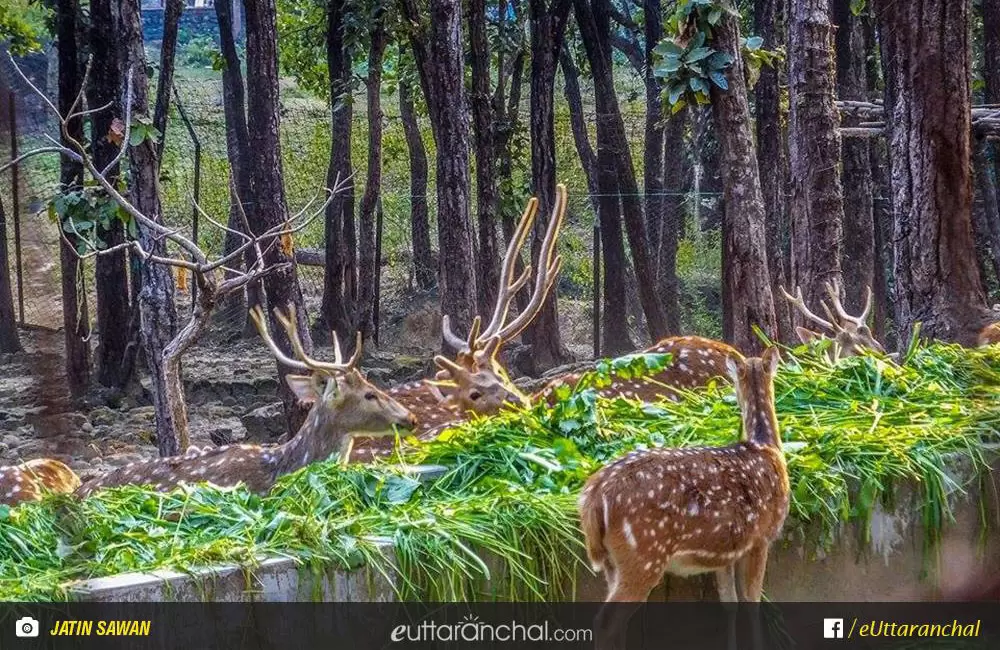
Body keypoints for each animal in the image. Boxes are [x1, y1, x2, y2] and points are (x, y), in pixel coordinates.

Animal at [580, 346, 788, 648]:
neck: (766, 447)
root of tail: (593, 497)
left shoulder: (724, 552)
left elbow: (730, 603)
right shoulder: (762, 536)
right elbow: (752, 601)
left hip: (612, 563)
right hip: (642, 555)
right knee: (606, 621)